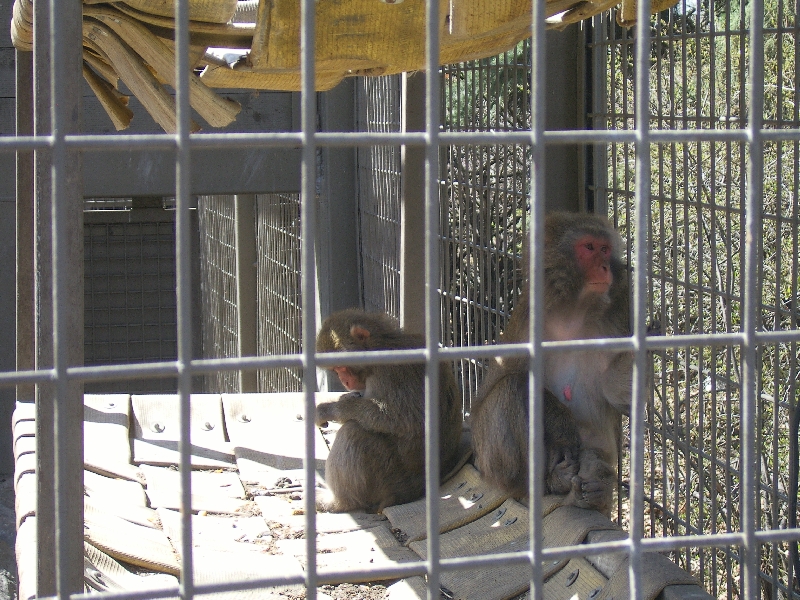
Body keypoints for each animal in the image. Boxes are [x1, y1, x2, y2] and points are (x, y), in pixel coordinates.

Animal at [314, 312, 462, 512]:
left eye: (342, 367)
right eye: (336, 370)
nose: (345, 381)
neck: (382, 346)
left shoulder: (391, 372)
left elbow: (405, 420)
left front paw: (333, 409)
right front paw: (346, 398)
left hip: (388, 476)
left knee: (353, 433)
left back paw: (340, 501)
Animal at [468, 212, 632, 516]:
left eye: (605, 249)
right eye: (589, 247)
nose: (605, 267)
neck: (572, 313)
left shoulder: (619, 314)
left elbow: (618, 399)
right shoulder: (529, 322)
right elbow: (515, 376)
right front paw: (561, 423)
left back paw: (593, 493)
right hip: (487, 457)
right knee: (510, 389)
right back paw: (548, 482)